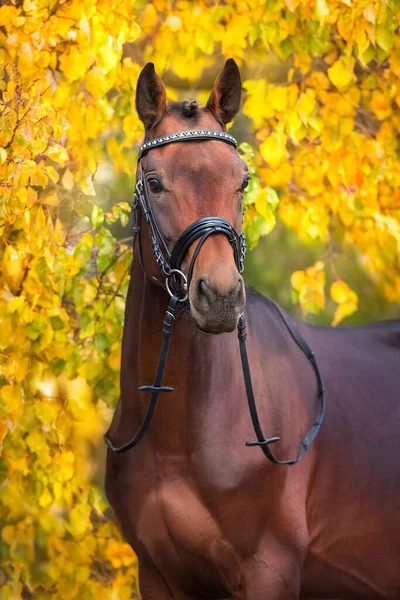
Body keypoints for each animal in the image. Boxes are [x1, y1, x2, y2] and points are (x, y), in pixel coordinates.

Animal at [105, 57, 400, 600]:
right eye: (154, 183)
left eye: (242, 181)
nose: (221, 296)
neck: (179, 439)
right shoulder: (157, 575)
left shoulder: (269, 570)